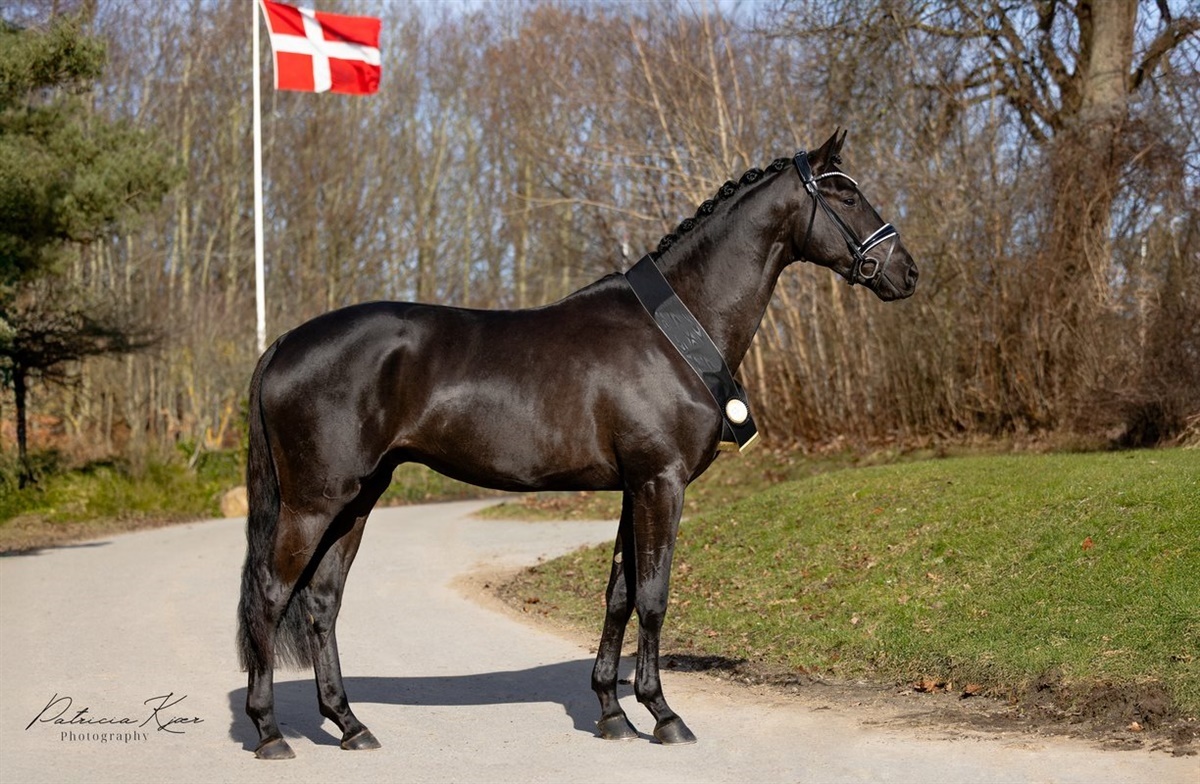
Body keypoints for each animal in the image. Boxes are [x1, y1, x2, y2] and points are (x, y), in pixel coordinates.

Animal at [236, 130, 918, 759]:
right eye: (845, 193)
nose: (907, 272)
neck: (673, 330)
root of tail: (284, 344)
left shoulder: (632, 488)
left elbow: (619, 595)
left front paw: (612, 713)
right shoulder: (661, 482)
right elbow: (653, 597)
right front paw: (663, 715)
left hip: (358, 498)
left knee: (322, 601)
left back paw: (350, 725)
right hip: (316, 501)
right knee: (270, 594)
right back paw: (270, 733)